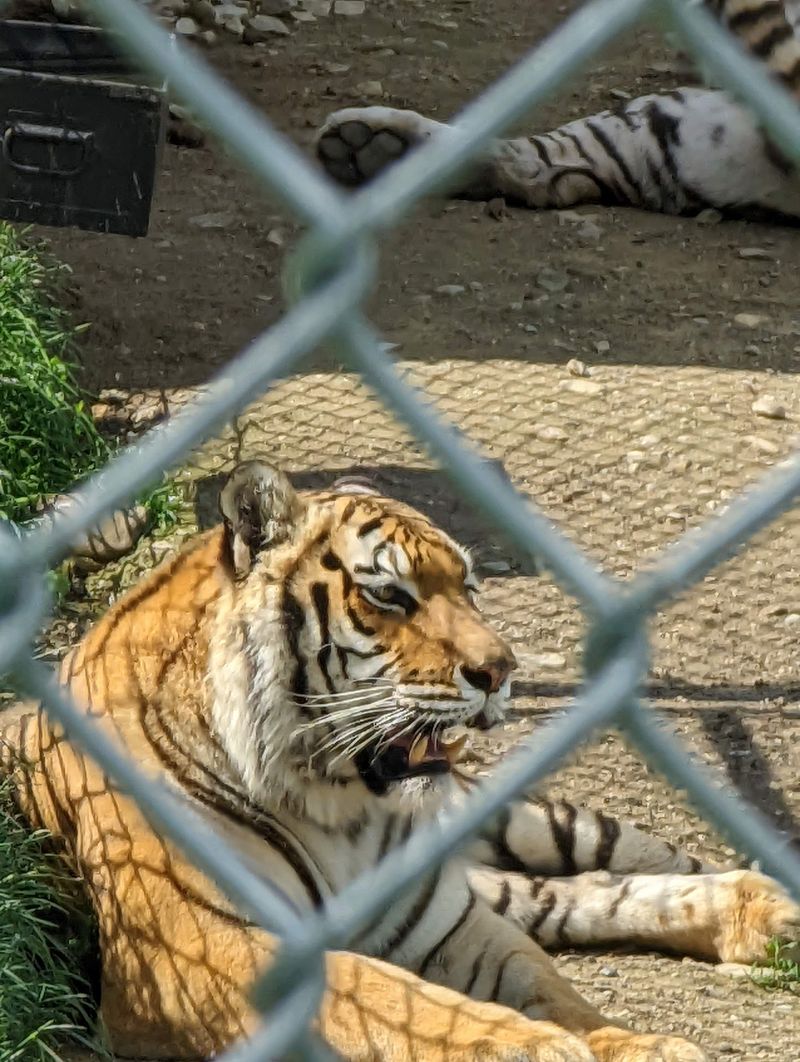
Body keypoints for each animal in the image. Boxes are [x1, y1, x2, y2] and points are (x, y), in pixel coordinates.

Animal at [2, 461, 798, 1061]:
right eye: (390, 595)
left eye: (470, 589)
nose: (501, 670)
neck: (337, 804)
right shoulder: (202, 949)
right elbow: (384, 993)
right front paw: (538, 1047)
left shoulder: (445, 921)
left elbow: (549, 987)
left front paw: (628, 1044)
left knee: (606, 864)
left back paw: (766, 910)